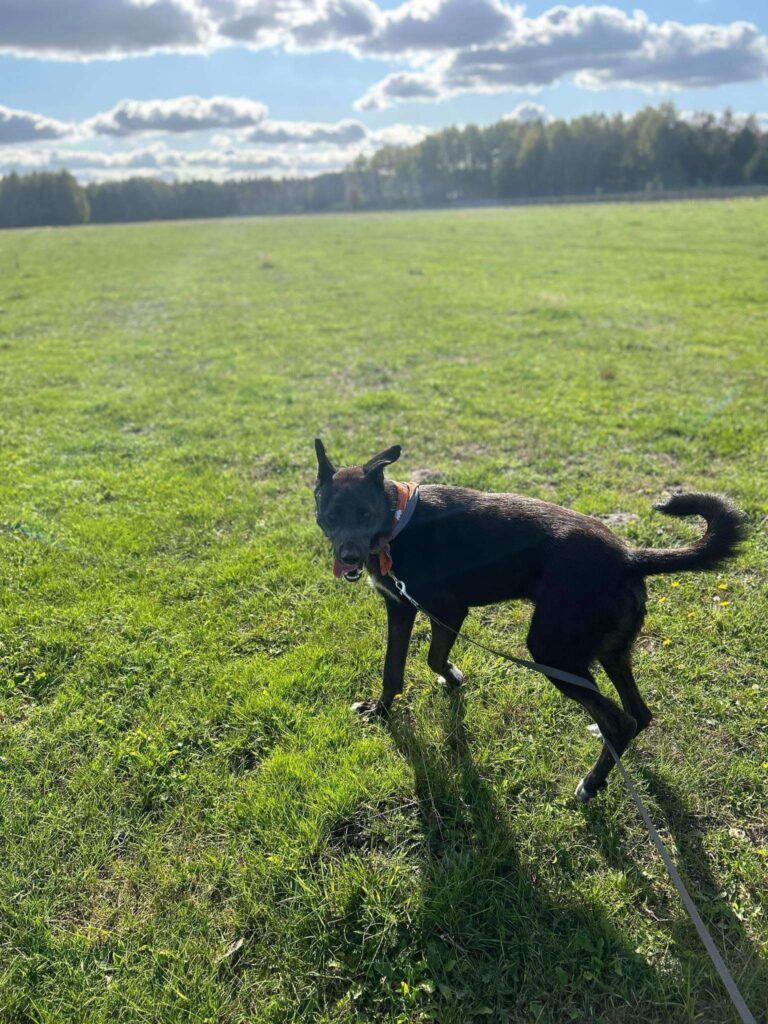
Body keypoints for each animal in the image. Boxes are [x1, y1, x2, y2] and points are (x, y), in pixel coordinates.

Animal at [313, 438, 745, 798]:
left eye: (365, 513)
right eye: (330, 516)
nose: (349, 558)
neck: (396, 520)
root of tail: (628, 557)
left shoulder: (448, 611)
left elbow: (432, 657)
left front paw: (449, 677)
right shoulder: (400, 609)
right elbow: (394, 670)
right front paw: (383, 710)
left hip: (552, 651)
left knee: (619, 720)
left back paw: (591, 784)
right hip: (609, 653)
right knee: (638, 715)